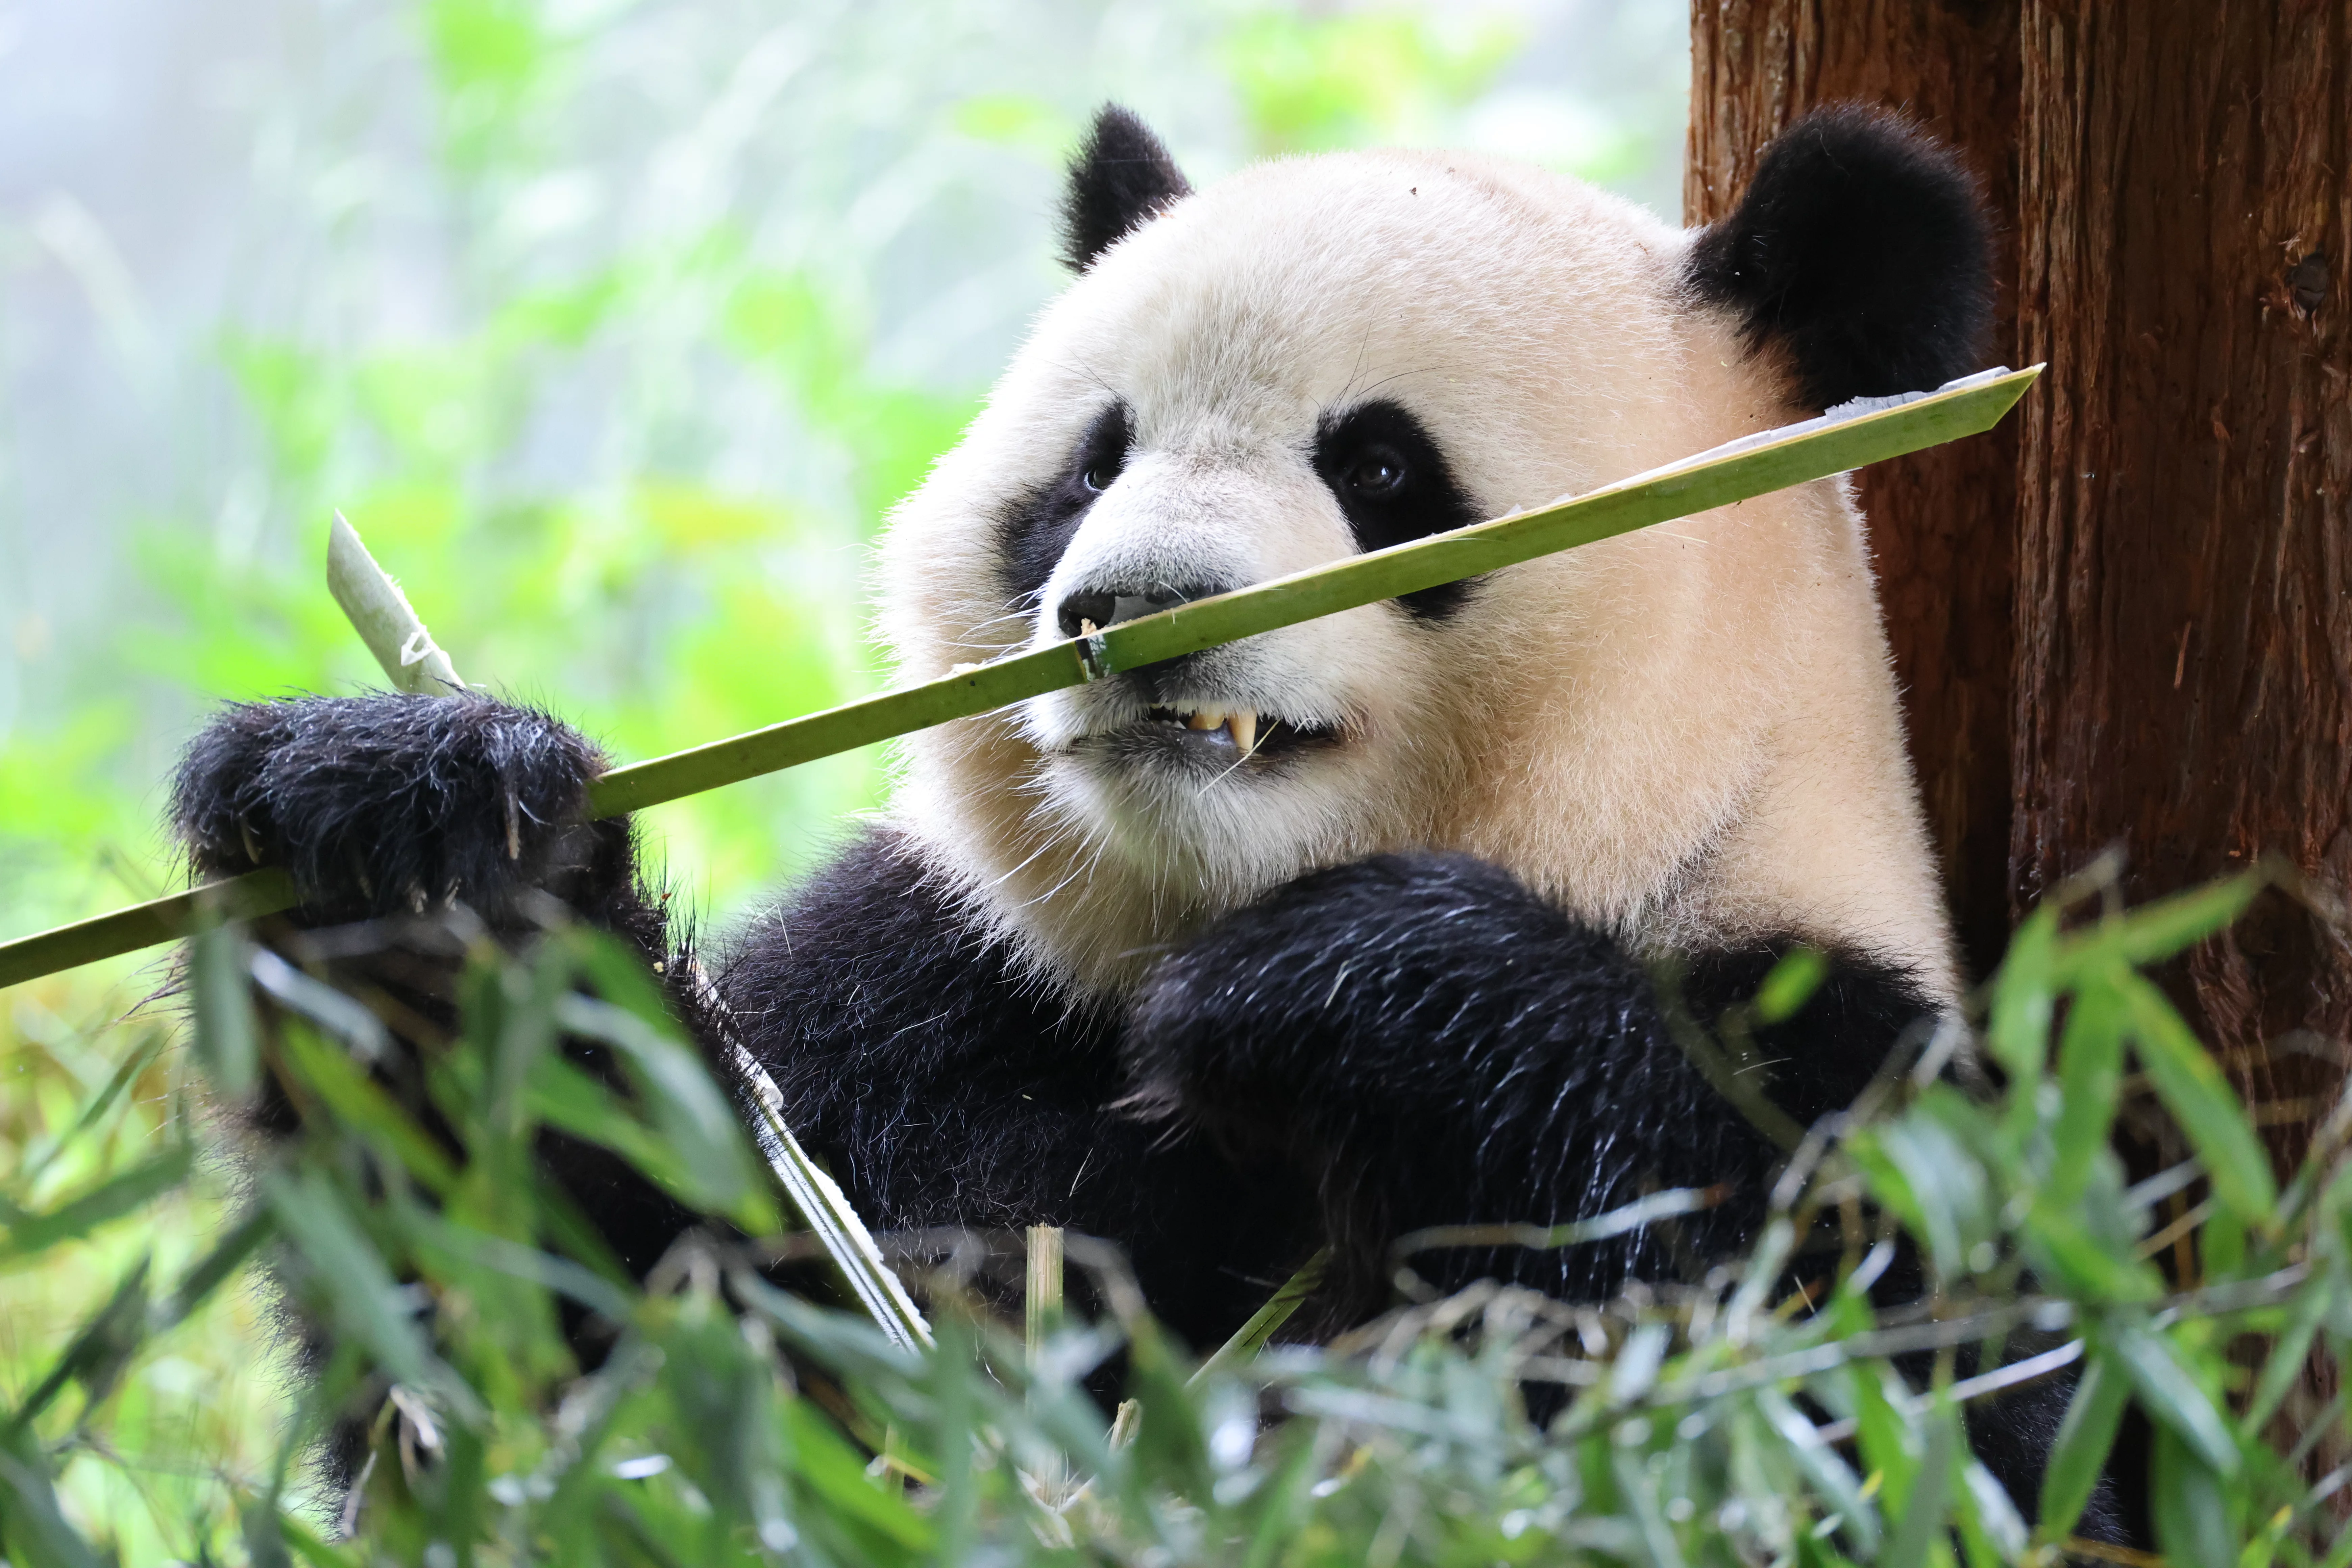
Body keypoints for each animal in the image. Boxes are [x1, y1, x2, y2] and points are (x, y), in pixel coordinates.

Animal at [173, 103, 2107, 1529]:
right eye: (1089, 467)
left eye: (1381, 467)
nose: (1134, 606)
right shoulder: (949, 995)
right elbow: (591, 1358)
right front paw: (403, 865)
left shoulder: (1849, 1045)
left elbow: (1912, 1415)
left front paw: (1372, 990)